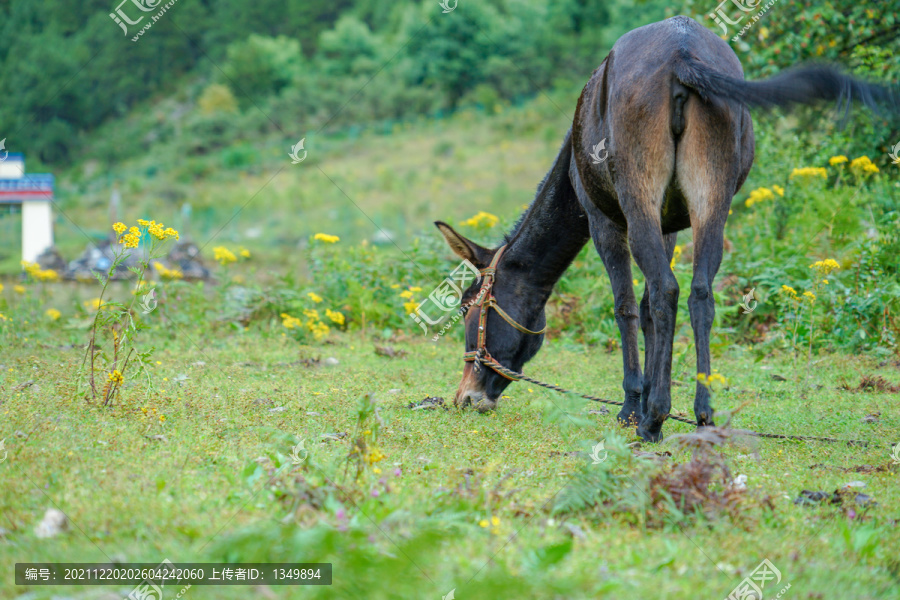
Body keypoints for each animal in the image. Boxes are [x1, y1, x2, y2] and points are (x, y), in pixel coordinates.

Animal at [434, 16, 892, 440]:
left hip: (638, 192)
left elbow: (626, 307)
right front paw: (654, 396)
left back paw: (653, 418)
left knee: (666, 290)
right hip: (713, 197)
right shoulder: (670, 222)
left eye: (469, 309)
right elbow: (649, 308)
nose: (465, 397)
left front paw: (632, 405)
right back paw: (703, 414)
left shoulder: (602, 220)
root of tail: (682, 52)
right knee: (698, 292)